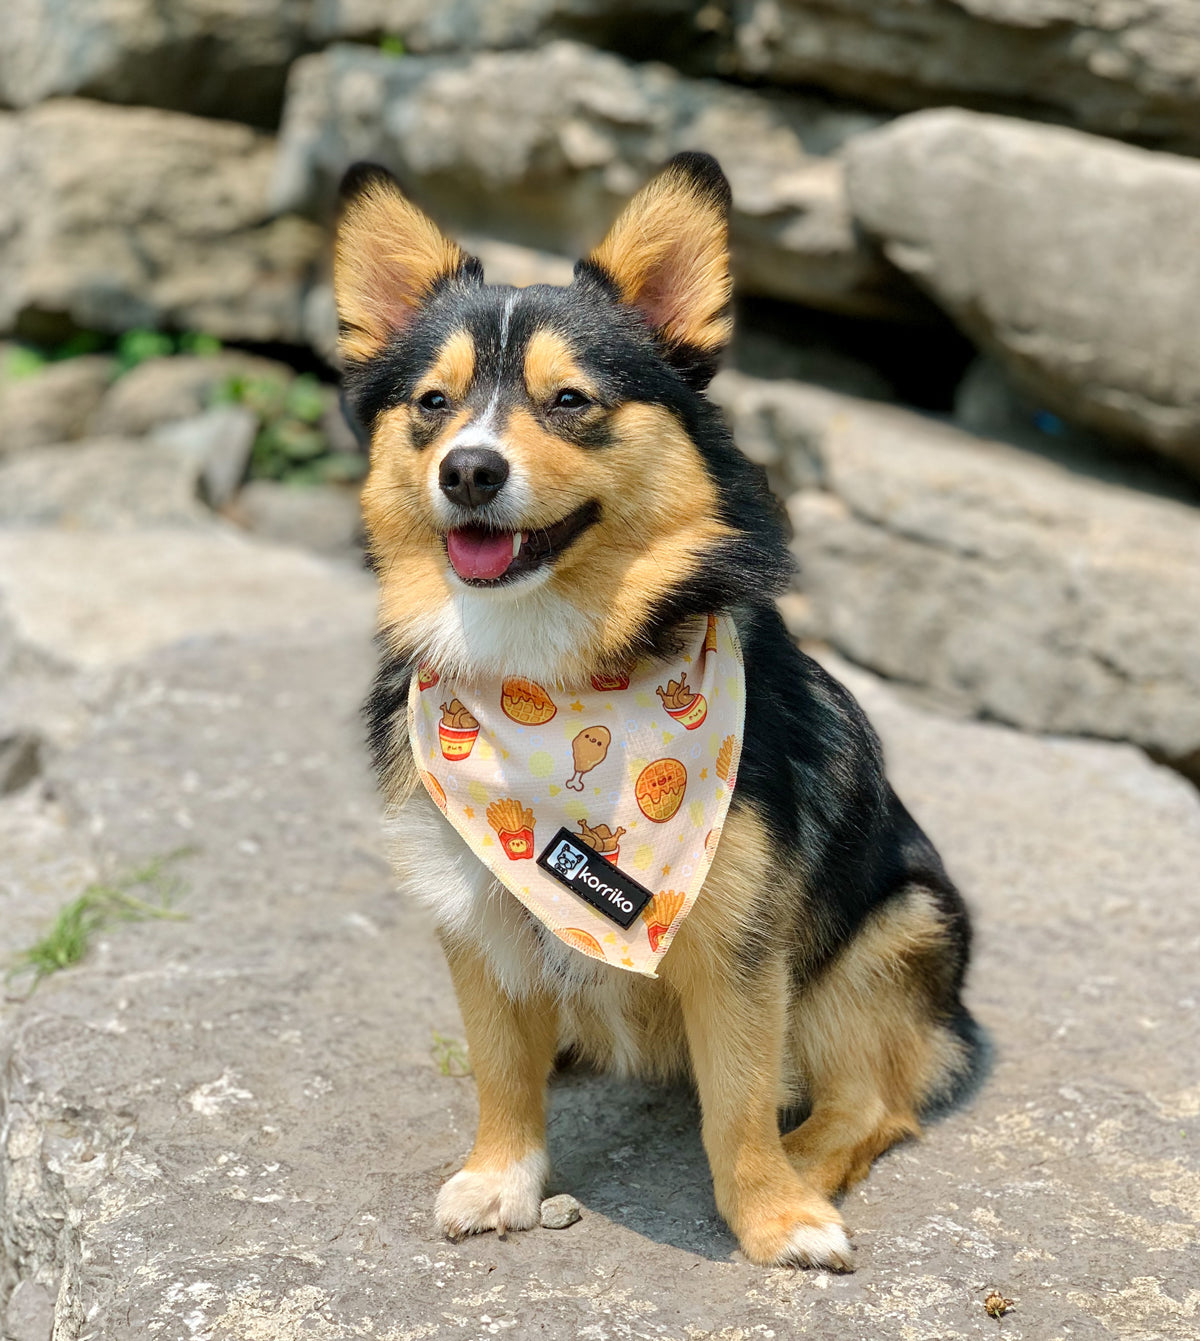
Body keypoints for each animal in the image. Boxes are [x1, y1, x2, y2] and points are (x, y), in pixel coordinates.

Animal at [331, 149, 986, 1265]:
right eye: (431, 402)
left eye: (569, 399)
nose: (468, 469)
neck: (548, 678)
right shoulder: (476, 909)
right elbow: (501, 1071)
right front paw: (501, 1176)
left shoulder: (739, 940)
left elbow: (740, 1103)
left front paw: (769, 1214)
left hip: (895, 932)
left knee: (867, 1100)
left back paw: (806, 1171)